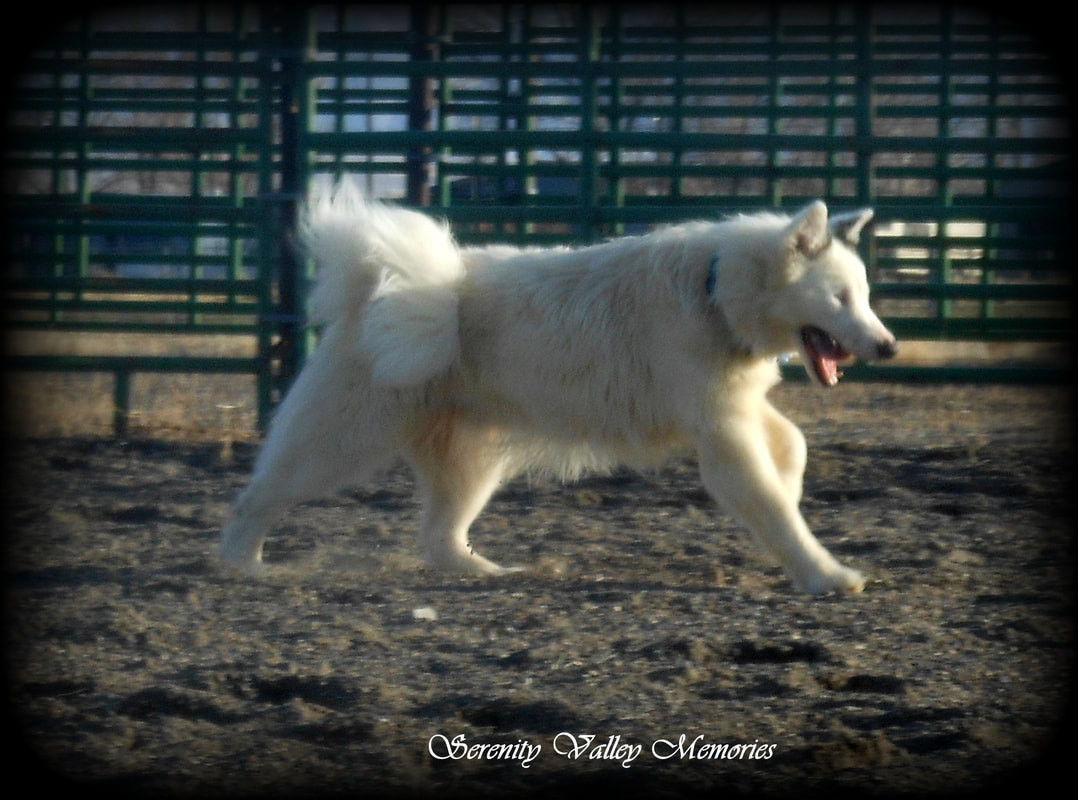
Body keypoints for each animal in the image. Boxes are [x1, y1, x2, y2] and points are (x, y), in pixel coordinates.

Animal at [220, 178, 897, 594]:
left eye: (864, 296)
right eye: (841, 298)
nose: (889, 347)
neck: (714, 288)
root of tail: (376, 291)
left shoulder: (734, 410)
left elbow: (792, 448)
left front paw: (794, 485)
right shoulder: (721, 429)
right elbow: (771, 508)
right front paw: (827, 574)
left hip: (471, 462)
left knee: (438, 536)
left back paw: (485, 571)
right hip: (340, 443)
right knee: (257, 497)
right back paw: (241, 564)